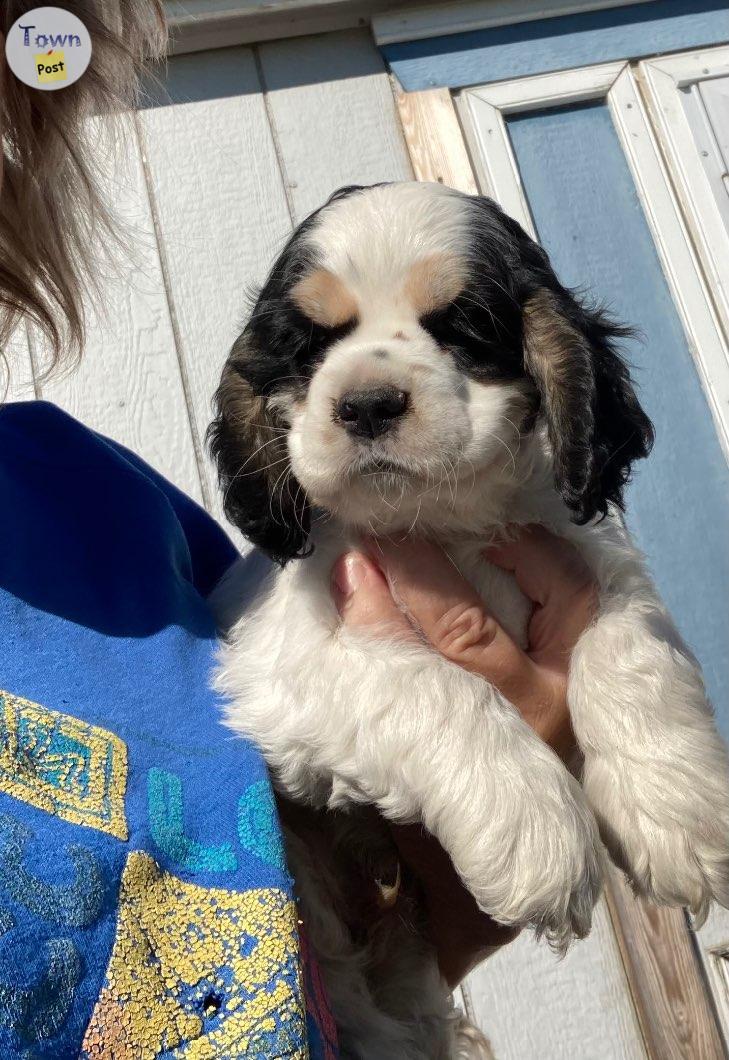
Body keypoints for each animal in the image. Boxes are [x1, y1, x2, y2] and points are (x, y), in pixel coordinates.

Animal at [207, 184, 729, 1060]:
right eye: (311, 345)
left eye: (461, 327)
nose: (366, 404)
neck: (443, 523)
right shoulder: (279, 665)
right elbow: (436, 686)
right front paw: (536, 830)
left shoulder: (595, 556)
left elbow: (623, 647)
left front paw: (674, 814)